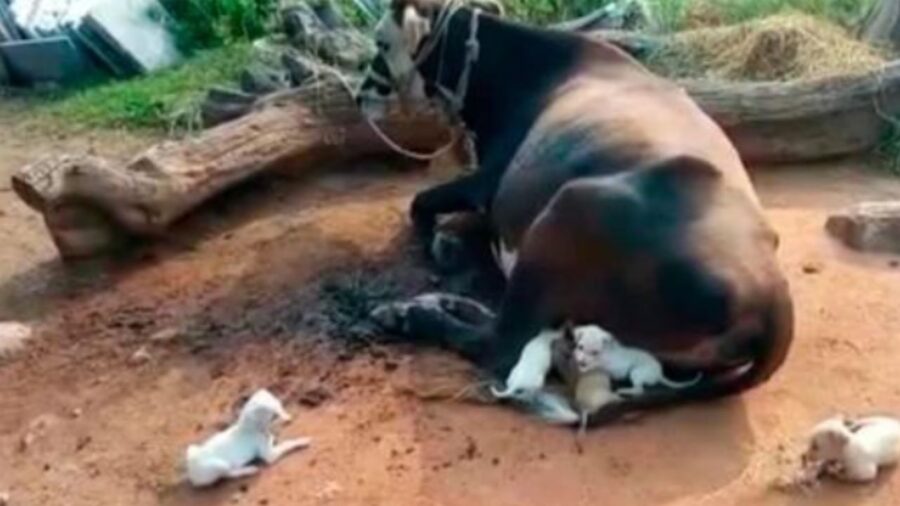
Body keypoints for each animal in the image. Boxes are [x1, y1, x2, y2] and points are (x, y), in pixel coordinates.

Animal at [568, 326, 704, 398]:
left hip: (636, 372)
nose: (581, 362)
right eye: (580, 347)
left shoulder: (608, 365)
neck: (607, 352)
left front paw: (584, 367)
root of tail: (659, 375)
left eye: (595, 352)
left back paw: (624, 390)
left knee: (639, 390)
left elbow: (594, 365)